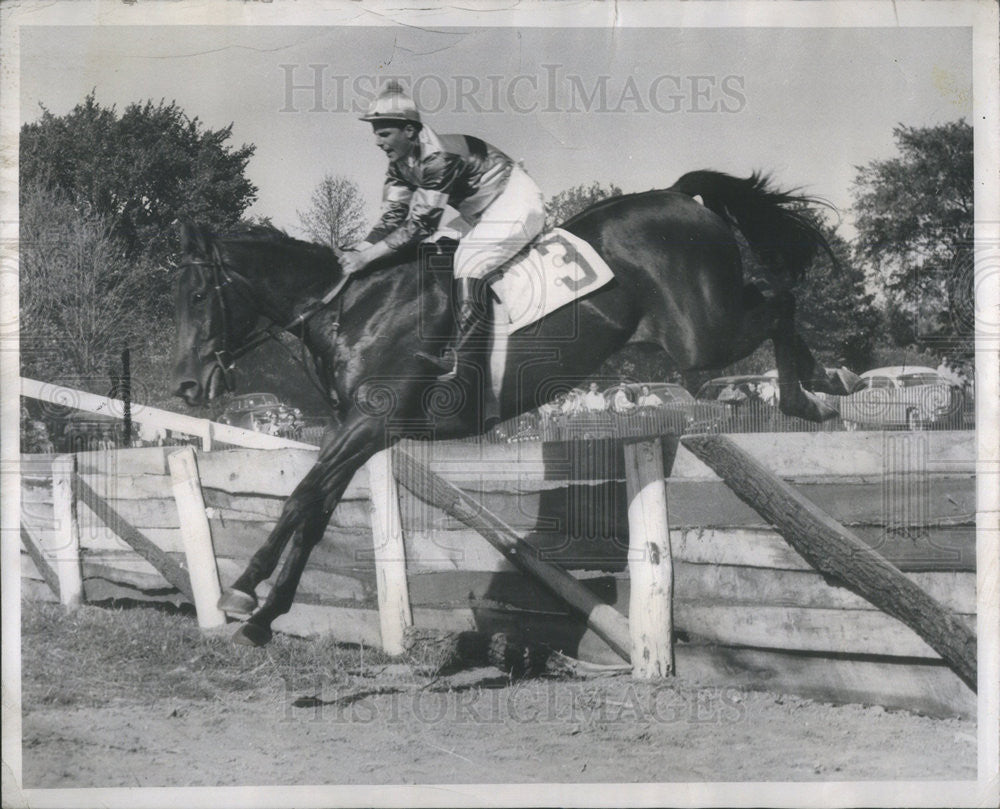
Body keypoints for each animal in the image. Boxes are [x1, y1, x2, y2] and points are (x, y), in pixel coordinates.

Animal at [174, 169, 860, 644]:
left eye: (201, 293)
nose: (185, 386)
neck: (352, 308)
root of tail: (674, 194)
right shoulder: (357, 429)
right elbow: (314, 508)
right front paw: (263, 615)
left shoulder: (369, 422)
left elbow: (299, 499)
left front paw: (240, 593)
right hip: (701, 336)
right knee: (774, 300)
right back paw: (819, 387)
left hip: (702, 337)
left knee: (779, 301)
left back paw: (817, 390)